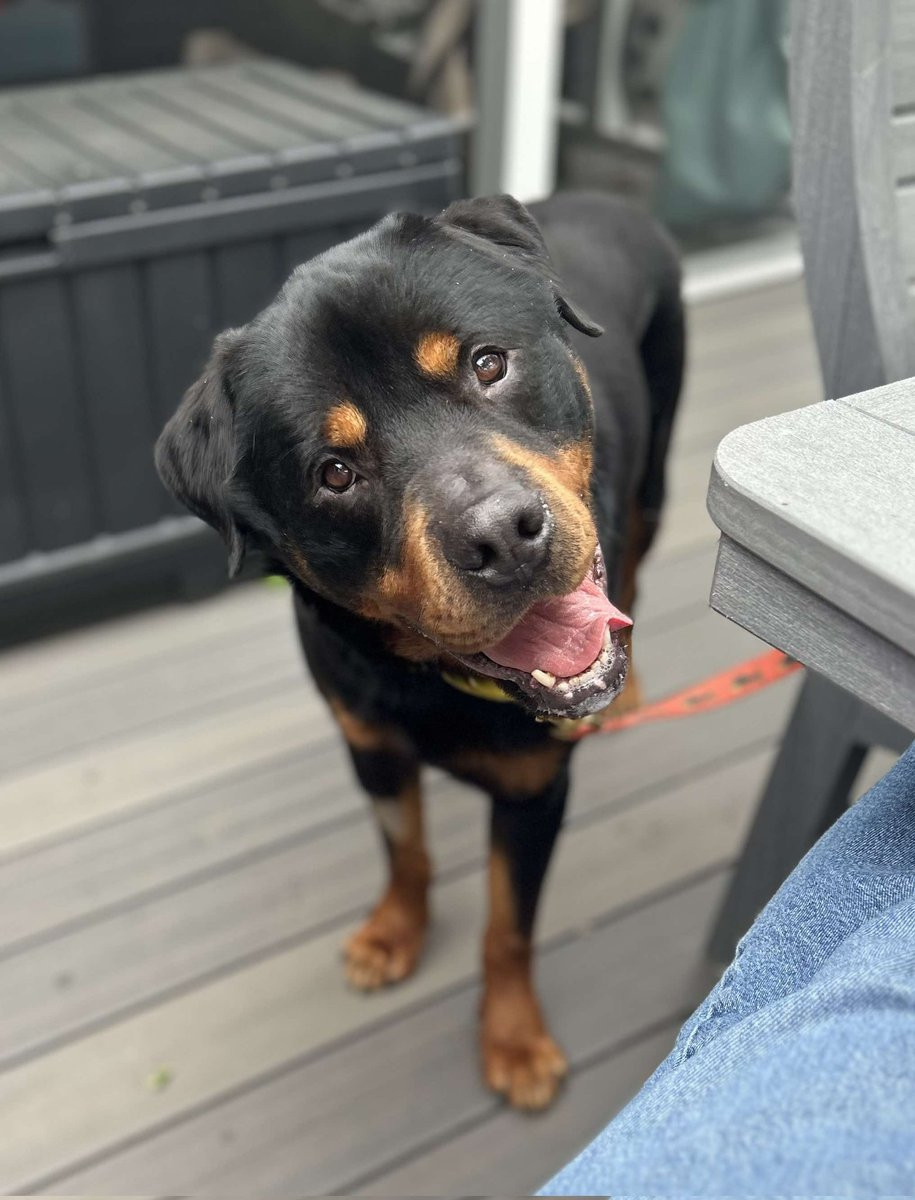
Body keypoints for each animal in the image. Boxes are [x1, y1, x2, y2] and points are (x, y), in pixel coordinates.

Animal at [156, 191, 684, 1111]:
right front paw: (394, 932)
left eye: (487, 365)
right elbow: (403, 847)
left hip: (655, 471)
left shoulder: (534, 791)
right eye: (334, 473)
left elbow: (509, 926)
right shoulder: (370, 744)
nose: (502, 537)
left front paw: (513, 1039)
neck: (431, 678)